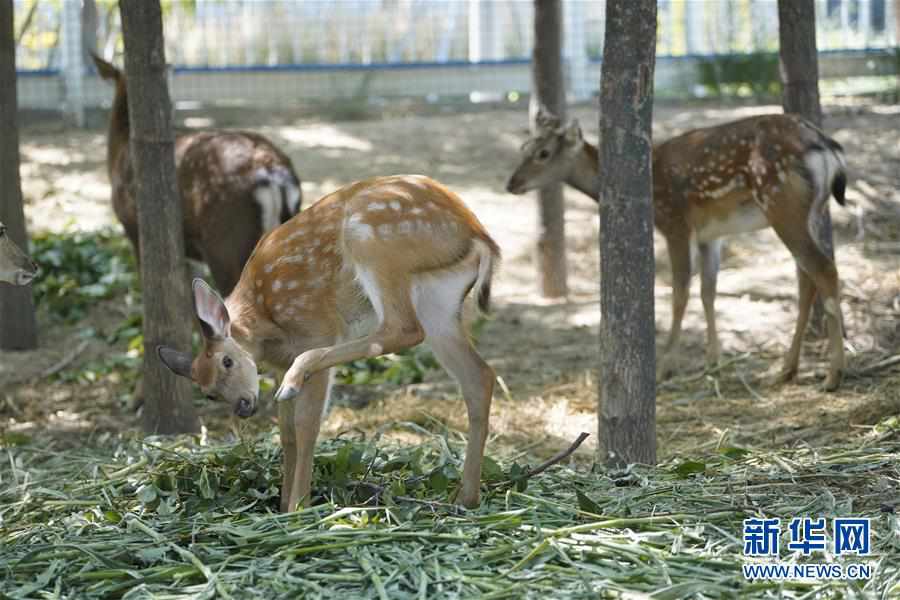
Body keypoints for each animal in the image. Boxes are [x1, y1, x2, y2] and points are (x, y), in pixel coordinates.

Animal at [159, 173, 502, 510]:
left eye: (227, 361)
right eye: (208, 393)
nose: (243, 407)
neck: (265, 321)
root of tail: (478, 234)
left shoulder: (316, 326)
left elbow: (306, 424)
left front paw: (298, 507)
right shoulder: (277, 365)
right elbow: (286, 432)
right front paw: (283, 504)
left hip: (372, 242)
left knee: (402, 328)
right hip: (438, 303)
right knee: (479, 376)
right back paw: (465, 498)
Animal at [510, 109, 848, 392]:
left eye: (543, 153)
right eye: (524, 147)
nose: (511, 183)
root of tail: (825, 146)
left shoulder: (674, 221)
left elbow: (680, 293)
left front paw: (665, 367)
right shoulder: (710, 234)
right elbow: (708, 291)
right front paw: (713, 362)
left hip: (781, 201)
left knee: (824, 269)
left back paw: (832, 376)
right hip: (811, 211)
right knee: (807, 279)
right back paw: (786, 370)